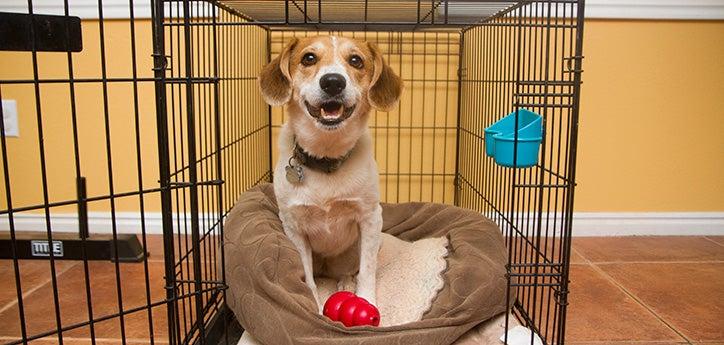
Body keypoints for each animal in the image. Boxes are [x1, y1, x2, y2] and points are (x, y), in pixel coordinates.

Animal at [258, 35, 408, 310]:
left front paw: (366, 301)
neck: (326, 157)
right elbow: (307, 278)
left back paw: (346, 284)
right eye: (308, 58)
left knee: (350, 271)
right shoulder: (293, 226)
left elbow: (367, 271)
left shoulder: (370, 218)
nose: (333, 82)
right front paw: (315, 308)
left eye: (356, 60)